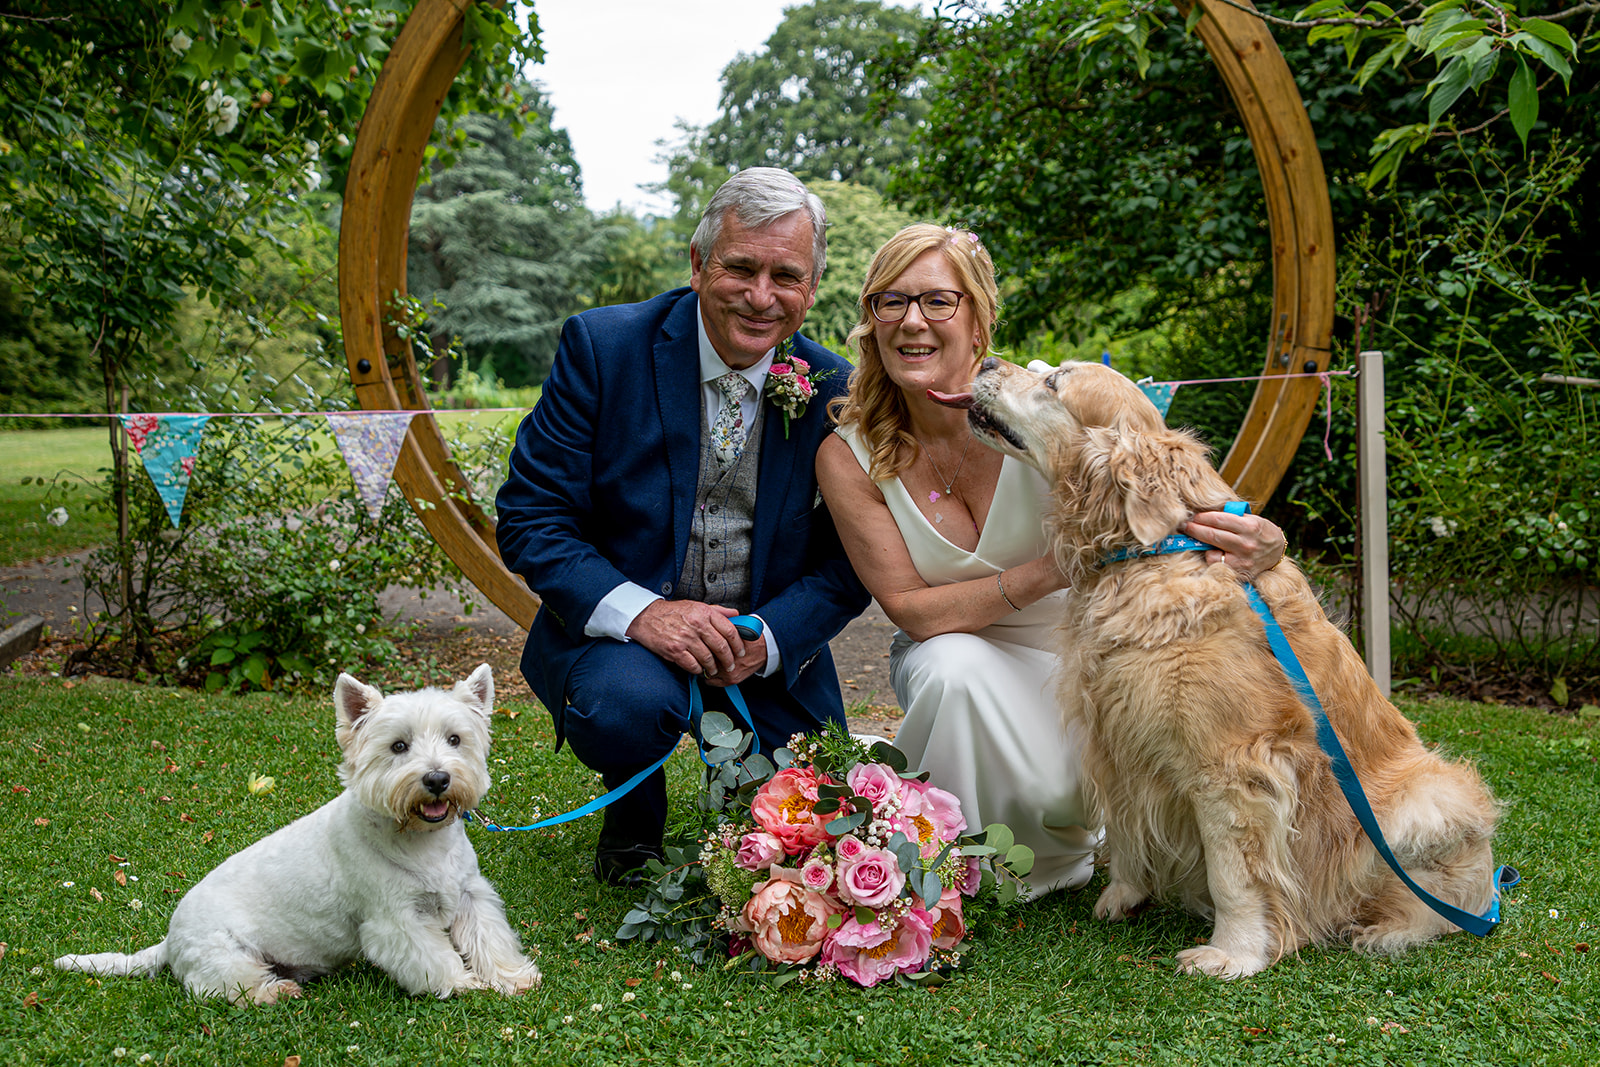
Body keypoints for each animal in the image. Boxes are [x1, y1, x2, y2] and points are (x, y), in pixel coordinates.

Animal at [56, 662, 544, 1004]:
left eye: (455, 739)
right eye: (398, 746)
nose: (438, 779)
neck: (421, 840)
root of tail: (168, 942)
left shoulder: (469, 896)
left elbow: (490, 939)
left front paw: (512, 978)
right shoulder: (396, 921)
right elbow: (434, 958)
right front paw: (465, 984)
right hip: (224, 955)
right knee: (223, 988)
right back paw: (275, 992)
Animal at [940, 363, 1491, 979]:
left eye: (1053, 382)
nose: (987, 363)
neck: (1153, 554)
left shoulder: (1232, 764)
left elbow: (1235, 875)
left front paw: (1234, 953)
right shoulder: (1118, 739)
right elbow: (1127, 831)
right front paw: (1125, 895)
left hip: (1426, 803)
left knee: (1447, 907)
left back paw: (1385, 929)